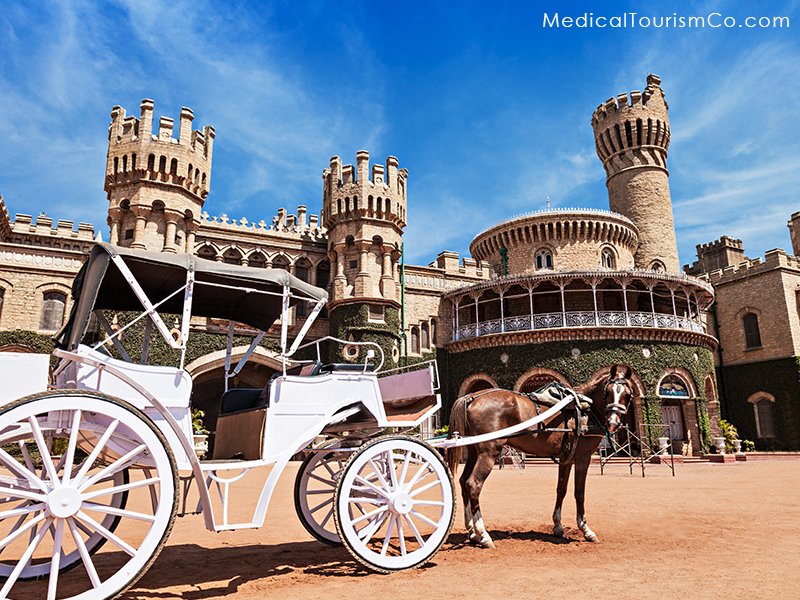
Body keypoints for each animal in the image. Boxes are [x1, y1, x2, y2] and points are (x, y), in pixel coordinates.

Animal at [446, 366, 636, 548]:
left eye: (628, 394)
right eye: (608, 392)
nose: (613, 422)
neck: (584, 409)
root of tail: (471, 397)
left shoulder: (567, 459)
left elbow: (561, 489)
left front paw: (558, 526)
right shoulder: (583, 457)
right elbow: (579, 492)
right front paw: (586, 529)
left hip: (473, 451)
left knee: (463, 481)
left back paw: (472, 531)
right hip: (489, 451)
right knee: (473, 484)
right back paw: (483, 535)